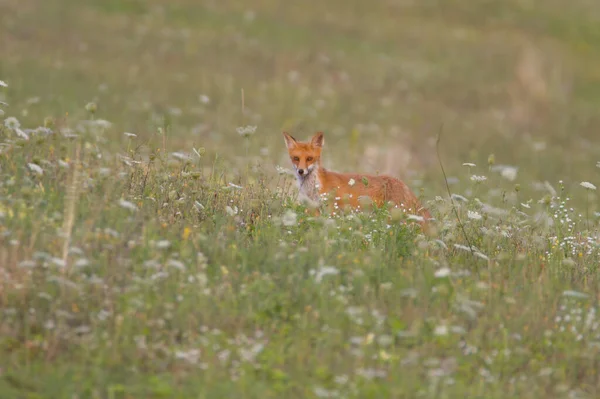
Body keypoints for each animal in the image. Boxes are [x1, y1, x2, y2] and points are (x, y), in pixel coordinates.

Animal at [282, 132, 432, 228]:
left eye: (309, 158)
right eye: (296, 158)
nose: (301, 171)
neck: (313, 188)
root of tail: (401, 183)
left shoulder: (331, 210)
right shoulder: (314, 209)